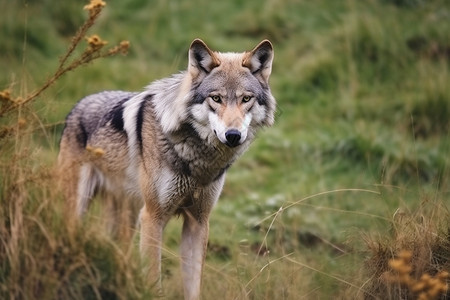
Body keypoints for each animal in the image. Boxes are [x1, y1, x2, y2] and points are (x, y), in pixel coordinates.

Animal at [58, 38, 276, 298]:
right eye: (216, 98)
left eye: (246, 99)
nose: (233, 135)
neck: (196, 160)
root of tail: (79, 104)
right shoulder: (153, 217)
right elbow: (154, 278)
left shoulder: (198, 221)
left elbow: (193, 285)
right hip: (82, 208)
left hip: (128, 216)